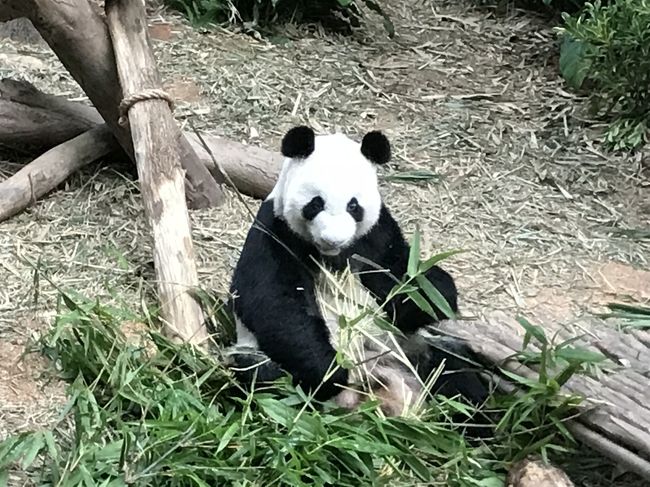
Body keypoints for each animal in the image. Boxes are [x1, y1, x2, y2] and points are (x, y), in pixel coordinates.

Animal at [224, 126, 486, 420]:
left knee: (455, 371)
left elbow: (399, 279)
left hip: (410, 352)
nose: (333, 239)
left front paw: (432, 292)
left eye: (354, 206)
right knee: (260, 374)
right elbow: (272, 303)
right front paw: (330, 372)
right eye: (316, 204)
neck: (332, 256)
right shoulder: (275, 232)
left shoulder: (376, 237)